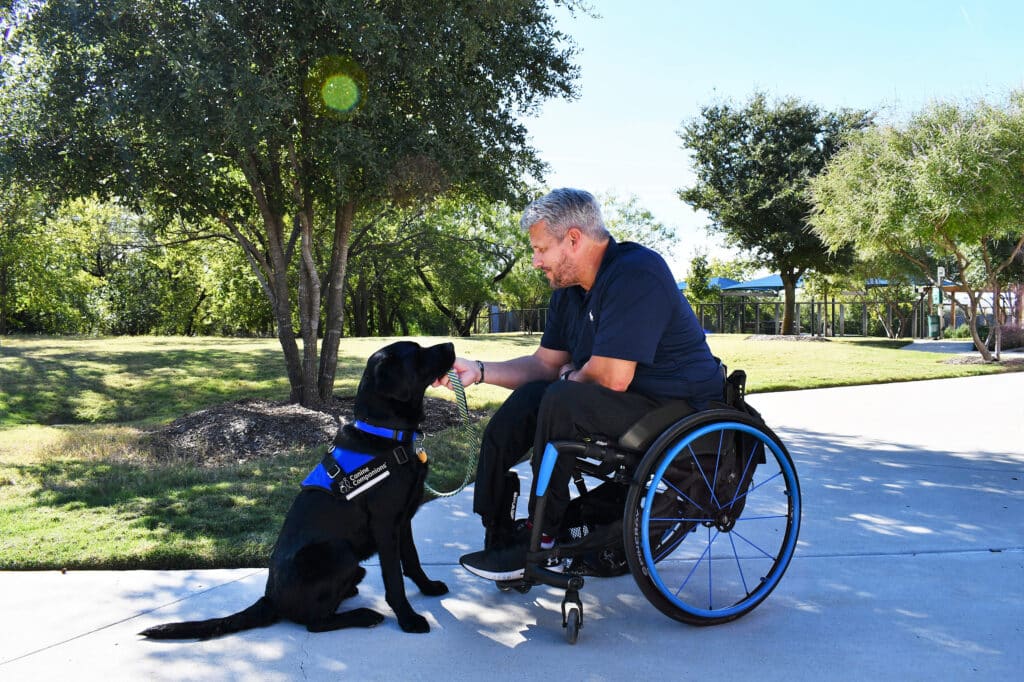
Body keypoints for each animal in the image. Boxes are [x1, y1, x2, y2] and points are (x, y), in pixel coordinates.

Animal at [140, 339, 456, 638]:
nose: (452, 344)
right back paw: (364, 615)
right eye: (416, 353)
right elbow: (394, 579)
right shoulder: (385, 524)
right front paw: (408, 618)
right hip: (339, 553)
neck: (386, 434)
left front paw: (428, 587)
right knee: (314, 623)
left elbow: (412, 560)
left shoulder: (403, 520)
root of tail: (269, 599)